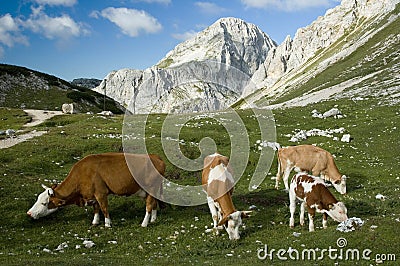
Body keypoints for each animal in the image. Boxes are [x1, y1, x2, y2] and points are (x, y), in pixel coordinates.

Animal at [27, 153, 164, 228]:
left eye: (44, 203)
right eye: (38, 199)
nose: (29, 213)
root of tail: (155, 157)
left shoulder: (101, 193)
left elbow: (104, 208)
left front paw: (107, 224)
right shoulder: (92, 195)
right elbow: (96, 208)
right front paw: (95, 221)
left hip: (151, 188)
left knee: (149, 205)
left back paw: (144, 223)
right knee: (154, 203)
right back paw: (153, 219)